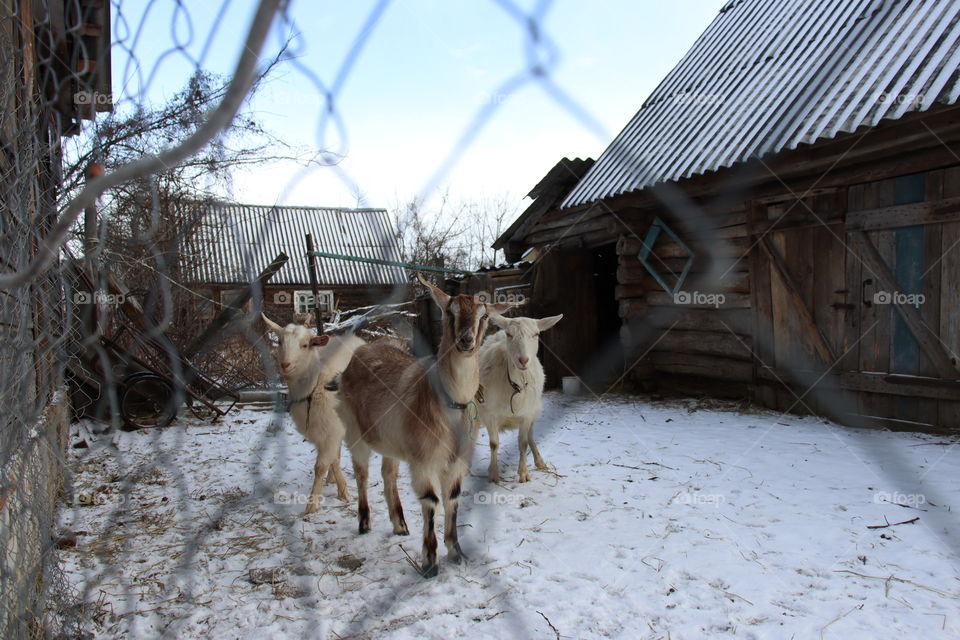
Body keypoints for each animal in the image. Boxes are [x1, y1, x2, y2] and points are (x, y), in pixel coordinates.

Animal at [262, 313, 362, 513]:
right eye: (280, 341)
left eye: (305, 344)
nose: (285, 364)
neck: (315, 387)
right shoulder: (321, 432)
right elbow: (333, 460)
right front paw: (340, 488)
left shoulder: (330, 432)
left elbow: (320, 466)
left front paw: (313, 504)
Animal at [336, 274, 513, 577]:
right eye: (449, 312)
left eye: (484, 316)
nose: (466, 340)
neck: (448, 403)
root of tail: (362, 348)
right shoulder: (424, 460)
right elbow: (431, 501)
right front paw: (429, 563)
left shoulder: (456, 460)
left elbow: (453, 498)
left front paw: (457, 553)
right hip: (355, 430)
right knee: (361, 474)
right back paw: (364, 523)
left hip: (392, 440)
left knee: (388, 474)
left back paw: (399, 525)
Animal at [477, 314, 562, 483]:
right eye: (509, 334)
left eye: (536, 334)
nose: (523, 360)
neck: (515, 386)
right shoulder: (489, 414)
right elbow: (494, 444)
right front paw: (493, 473)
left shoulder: (527, 414)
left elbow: (523, 442)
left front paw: (523, 473)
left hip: (534, 409)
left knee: (530, 436)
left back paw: (540, 461)